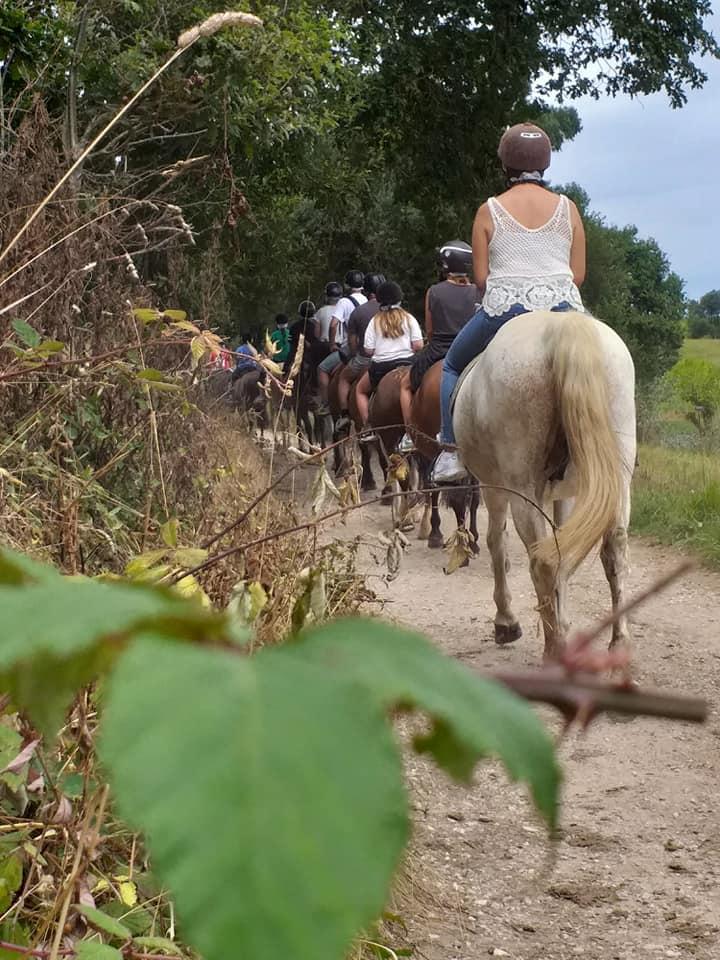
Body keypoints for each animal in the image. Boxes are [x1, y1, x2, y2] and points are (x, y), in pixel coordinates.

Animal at [456, 312, 636, 664]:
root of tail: (562, 325)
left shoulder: (493, 487)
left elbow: (497, 541)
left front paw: (506, 622)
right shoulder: (563, 496)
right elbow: (563, 553)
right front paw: (563, 622)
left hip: (522, 487)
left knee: (542, 560)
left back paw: (554, 651)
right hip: (619, 475)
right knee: (614, 549)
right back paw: (617, 646)